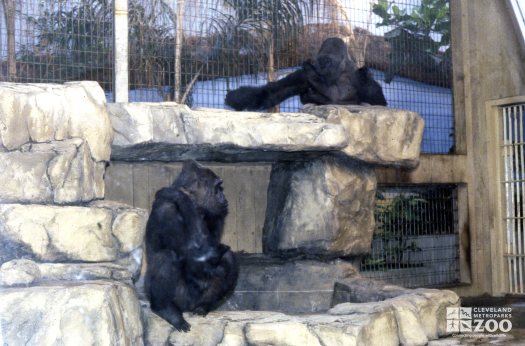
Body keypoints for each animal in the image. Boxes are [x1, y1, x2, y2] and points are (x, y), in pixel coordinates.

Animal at [145, 161, 239, 332]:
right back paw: (165, 309)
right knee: (166, 256)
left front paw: (179, 196)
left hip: (197, 301)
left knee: (229, 258)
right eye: (217, 188)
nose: (223, 196)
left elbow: (212, 249)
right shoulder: (166, 210)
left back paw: (204, 307)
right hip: (180, 299)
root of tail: (188, 308)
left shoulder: (215, 215)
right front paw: (179, 196)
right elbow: (194, 251)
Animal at [223, 36, 386, 110]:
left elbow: (378, 100)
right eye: (320, 60)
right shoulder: (301, 75)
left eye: (327, 60)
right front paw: (238, 97)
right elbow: (270, 92)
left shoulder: (354, 73)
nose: (319, 66)